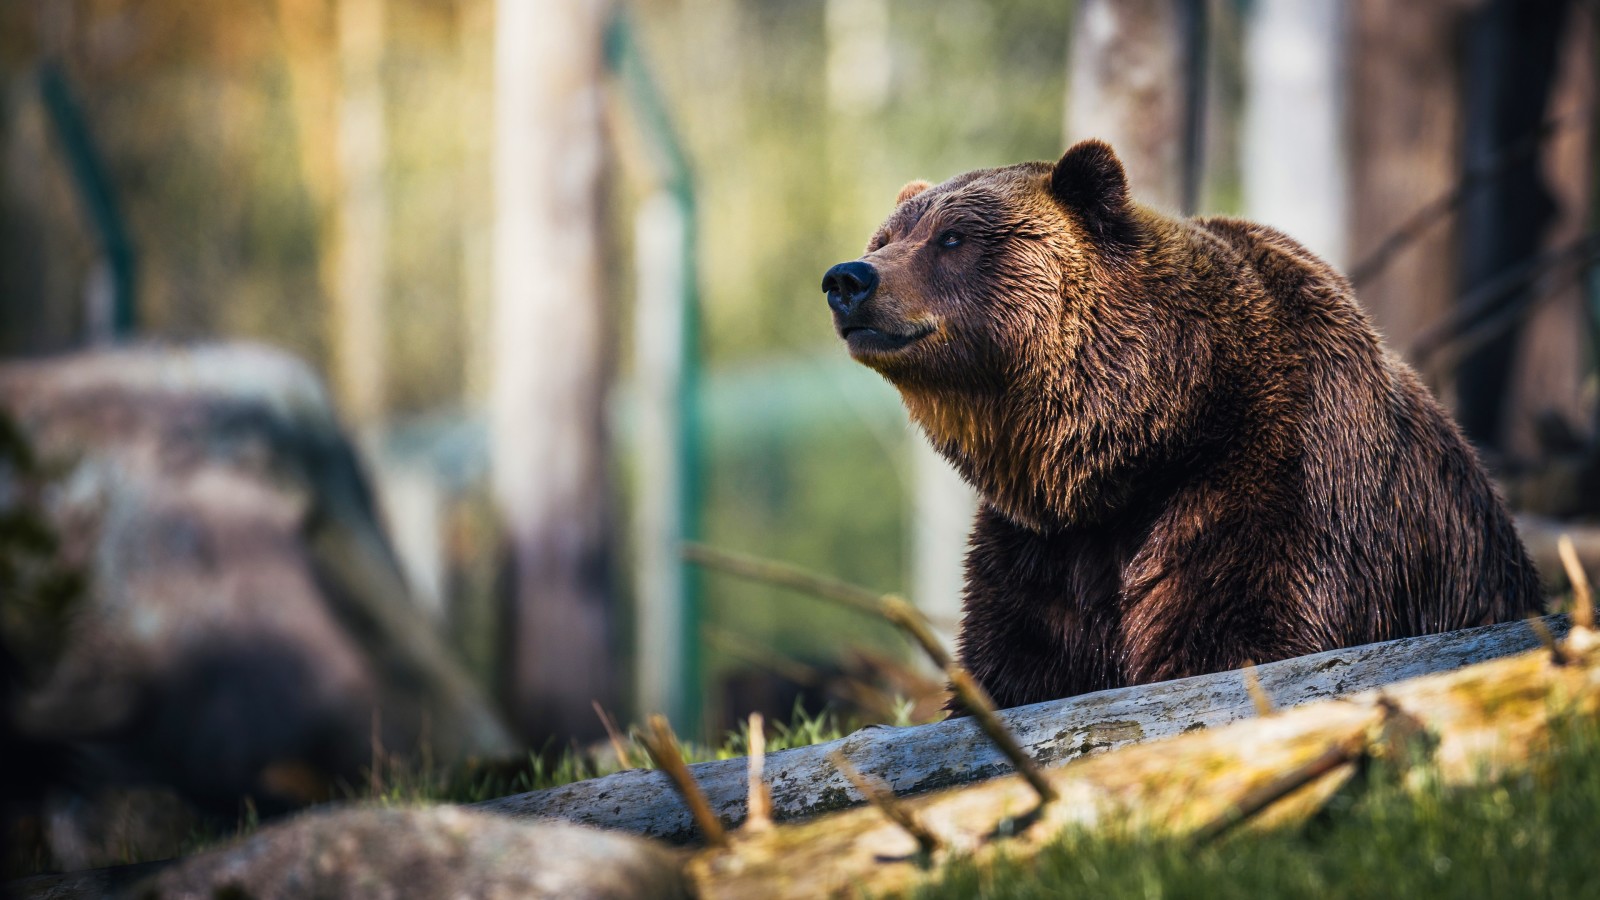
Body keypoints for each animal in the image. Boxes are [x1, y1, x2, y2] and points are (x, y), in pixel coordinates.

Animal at [819, 140, 1542, 707]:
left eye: (953, 238)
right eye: (886, 238)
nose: (849, 278)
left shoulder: (1275, 482)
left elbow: (1237, 636)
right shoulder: (1043, 549)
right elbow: (1017, 665)